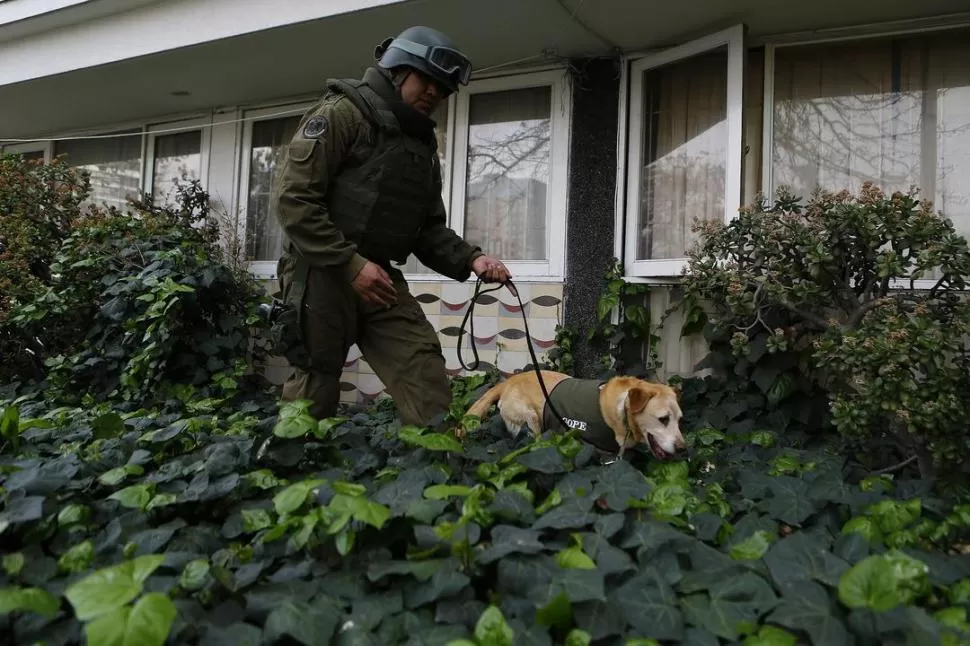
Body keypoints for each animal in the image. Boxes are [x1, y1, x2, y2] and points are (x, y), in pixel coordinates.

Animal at [464, 370, 684, 460]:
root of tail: (508, 382)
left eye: (679, 419)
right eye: (663, 419)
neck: (623, 408)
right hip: (532, 419)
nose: (683, 449)